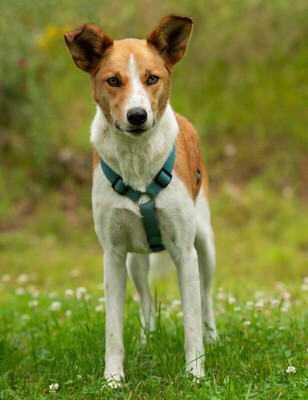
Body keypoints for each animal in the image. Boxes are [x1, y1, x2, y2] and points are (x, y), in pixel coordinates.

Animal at [64, 15, 217, 388]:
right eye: (113, 81)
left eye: (152, 78)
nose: (137, 116)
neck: (136, 163)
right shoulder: (114, 256)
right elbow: (113, 329)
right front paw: (113, 379)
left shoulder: (185, 253)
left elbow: (191, 322)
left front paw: (195, 374)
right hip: (135, 263)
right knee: (147, 302)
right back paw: (149, 341)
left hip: (205, 245)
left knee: (206, 298)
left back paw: (213, 337)